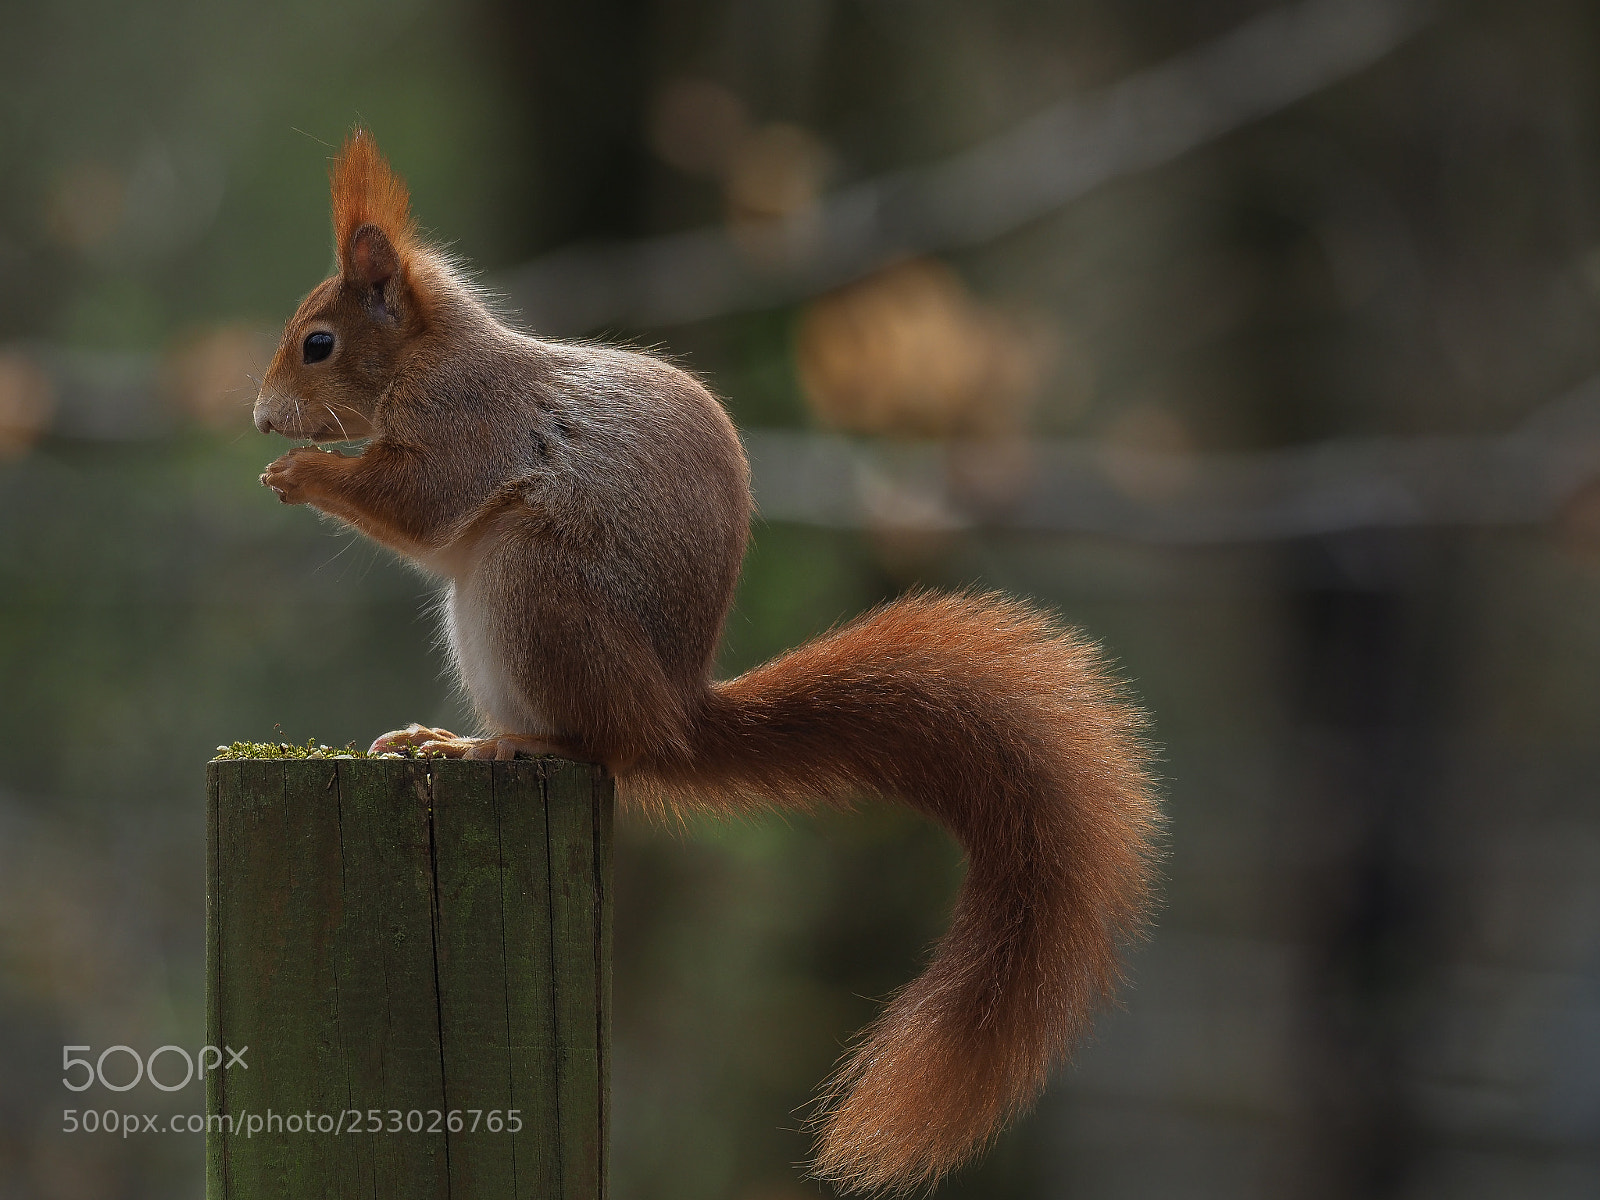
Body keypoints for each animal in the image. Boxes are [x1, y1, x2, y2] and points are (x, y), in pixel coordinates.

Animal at [253, 130, 1160, 1195]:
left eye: (319, 343)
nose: (263, 419)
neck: (434, 354)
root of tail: (674, 716)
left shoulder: (465, 423)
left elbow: (423, 504)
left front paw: (301, 474)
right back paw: (451, 734)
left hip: (537, 593)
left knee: (594, 745)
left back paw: (500, 746)